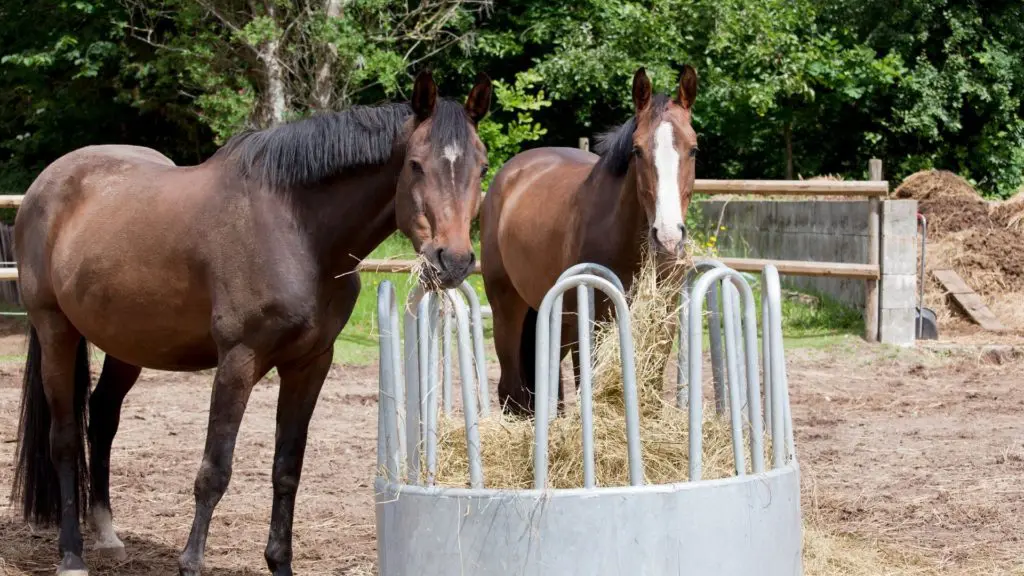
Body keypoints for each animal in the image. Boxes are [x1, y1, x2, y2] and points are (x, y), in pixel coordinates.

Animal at [11, 69, 492, 576]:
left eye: (481, 168)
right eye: (416, 165)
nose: (454, 260)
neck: (297, 230)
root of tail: (46, 185)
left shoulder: (310, 365)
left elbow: (287, 468)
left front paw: (280, 563)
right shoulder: (238, 361)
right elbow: (214, 470)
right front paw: (190, 565)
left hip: (128, 342)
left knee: (102, 418)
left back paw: (106, 535)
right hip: (56, 330)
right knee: (64, 438)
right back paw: (71, 554)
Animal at [480, 66, 698, 415]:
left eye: (693, 149)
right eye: (637, 150)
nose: (667, 236)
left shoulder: (661, 323)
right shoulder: (589, 323)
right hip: (508, 311)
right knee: (511, 389)